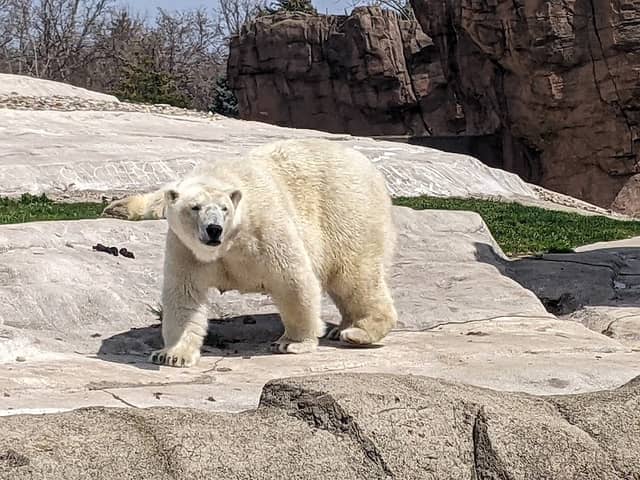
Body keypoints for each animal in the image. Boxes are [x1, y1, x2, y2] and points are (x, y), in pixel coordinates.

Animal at [103, 138, 398, 367]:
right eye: (195, 207)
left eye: (224, 209)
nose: (213, 230)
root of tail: (372, 172)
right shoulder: (186, 248)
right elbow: (183, 295)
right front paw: (172, 355)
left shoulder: (264, 228)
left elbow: (293, 280)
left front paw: (292, 343)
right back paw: (342, 328)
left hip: (346, 212)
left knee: (355, 276)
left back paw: (358, 332)